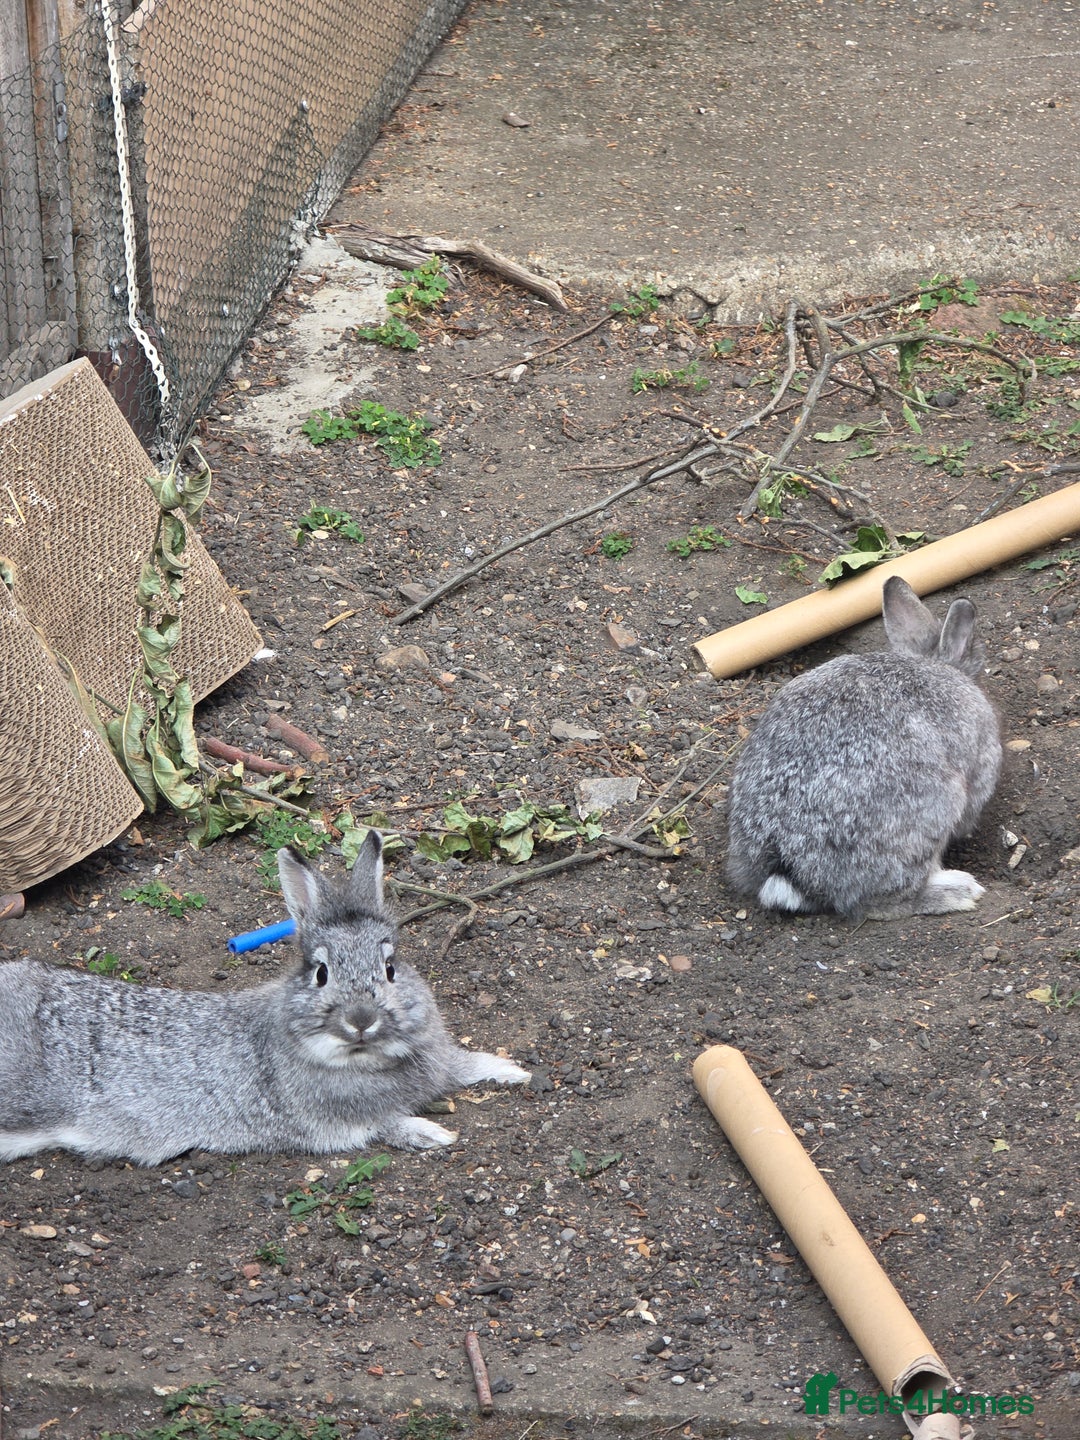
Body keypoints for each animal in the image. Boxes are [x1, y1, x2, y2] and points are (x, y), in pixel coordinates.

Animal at [0, 832, 529, 1165]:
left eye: (390, 968)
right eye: (320, 973)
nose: (360, 1020)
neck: (364, 1058)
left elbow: (465, 1063)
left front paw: (513, 1070)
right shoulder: (331, 1123)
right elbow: (387, 1126)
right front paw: (434, 1134)